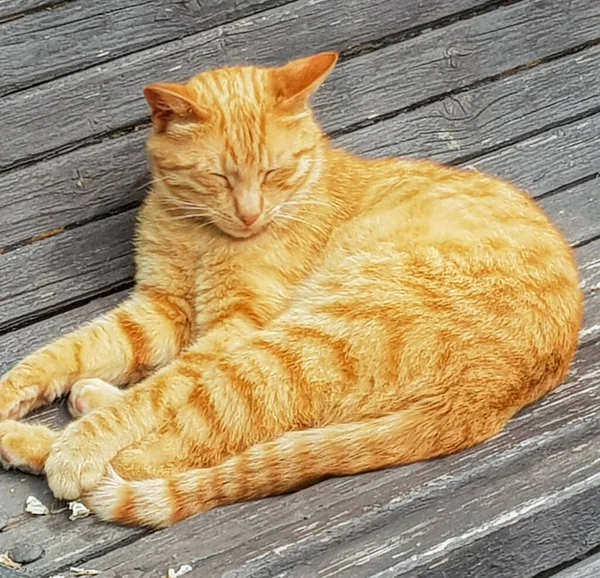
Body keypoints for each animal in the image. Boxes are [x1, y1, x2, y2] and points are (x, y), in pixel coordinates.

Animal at [0, 51, 580, 524]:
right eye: (218, 177)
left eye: (275, 172)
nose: (250, 213)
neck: (200, 235)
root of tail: (489, 401)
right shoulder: (159, 311)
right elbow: (63, 354)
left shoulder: (235, 325)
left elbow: (157, 392)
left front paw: (83, 440)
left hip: (292, 346)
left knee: (160, 452)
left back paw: (48, 440)